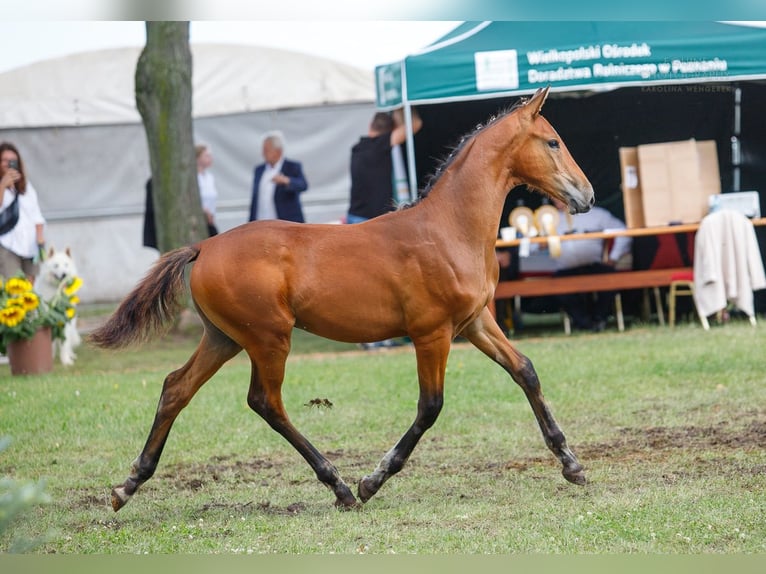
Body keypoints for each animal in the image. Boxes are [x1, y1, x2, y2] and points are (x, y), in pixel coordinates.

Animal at [90, 88, 592, 516]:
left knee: (177, 388)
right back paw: (341, 487)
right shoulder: (432, 333)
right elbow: (430, 406)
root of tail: (204, 246)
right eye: (553, 141)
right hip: (269, 338)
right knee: (265, 402)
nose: (585, 194)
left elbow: (525, 371)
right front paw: (373, 481)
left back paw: (127, 486)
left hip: (223, 338)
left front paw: (571, 463)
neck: (449, 227)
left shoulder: (474, 322)